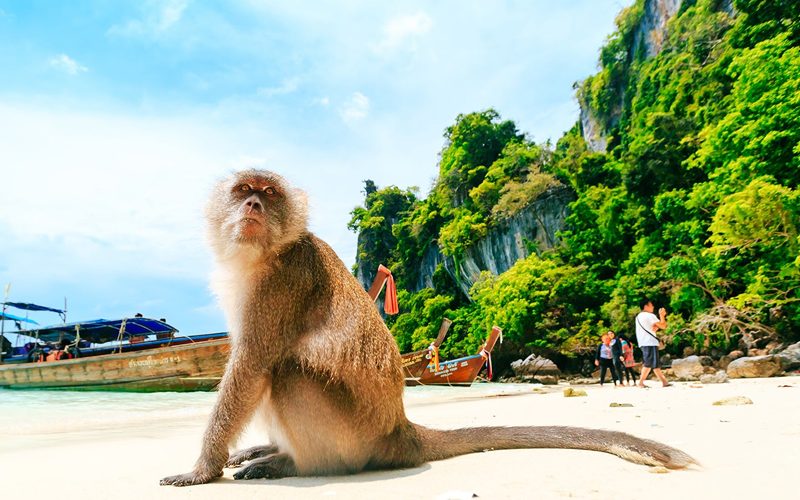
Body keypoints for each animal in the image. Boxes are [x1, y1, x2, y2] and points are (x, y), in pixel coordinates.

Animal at [161, 170, 692, 486]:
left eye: (268, 194)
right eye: (242, 191)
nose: (252, 206)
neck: (265, 253)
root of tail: (401, 431)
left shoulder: (281, 283)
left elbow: (250, 367)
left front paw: (201, 470)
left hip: (352, 437)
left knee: (285, 370)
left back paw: (293, 463)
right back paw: (272, 450)